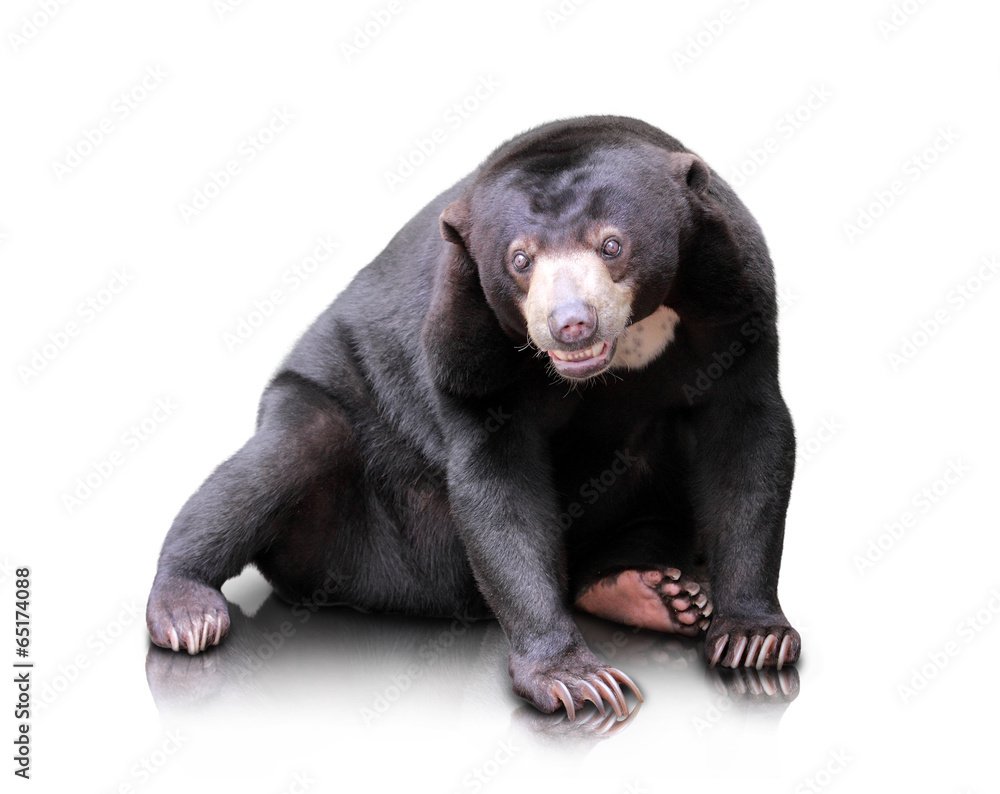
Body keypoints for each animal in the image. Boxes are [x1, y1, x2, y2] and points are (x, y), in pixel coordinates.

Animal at [146, 115, 800, 719]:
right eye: (520, 260)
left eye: (612, 244)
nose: (570, 324)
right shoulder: (465, 343)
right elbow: (498, 484)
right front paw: (576, 679)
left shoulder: (737, 302)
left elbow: (748, 446)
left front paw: (754, 640)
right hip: (333, 432)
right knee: (281, 458)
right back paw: (186, 613)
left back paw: (659, 594)